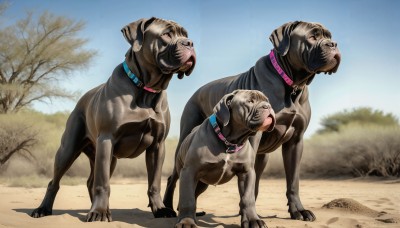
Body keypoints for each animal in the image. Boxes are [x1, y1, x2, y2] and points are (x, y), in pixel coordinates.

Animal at [30, 16, 196, 222]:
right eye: (166, 34)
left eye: (185, 34)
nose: (190, 43)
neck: (145, 89)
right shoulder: (107, 139)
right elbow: (103, 183)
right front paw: (99, 212)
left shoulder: (157, 145)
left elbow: (154, 183)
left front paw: (160, 209)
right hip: (69, 150)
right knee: (56, 181)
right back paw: (43, 209)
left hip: (109, 158)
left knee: (91, 181)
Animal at [175, 89, 276, 228]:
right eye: (250, 101)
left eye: (267, 101)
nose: (268, 106)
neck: (230, 141)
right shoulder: (189, 171)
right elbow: (187, 199)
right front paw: (186, 222)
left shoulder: (247, 173)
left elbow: (248, 198)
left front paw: (253, 220)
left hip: (202, 184)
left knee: (195, 194)